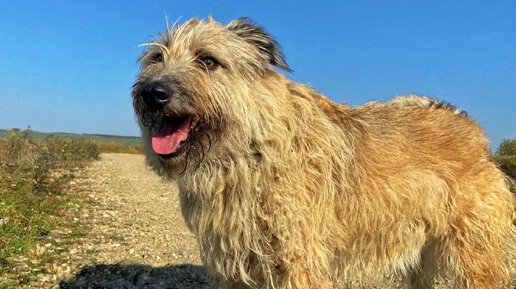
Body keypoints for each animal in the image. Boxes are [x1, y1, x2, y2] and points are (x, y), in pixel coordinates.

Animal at [131, 16, 512, 286]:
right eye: (156, 57)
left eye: (208, 61)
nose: (151, 92)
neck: (248, 150)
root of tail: (471, 127)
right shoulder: (236, 265)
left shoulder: (298, 259)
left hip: (473, 254)